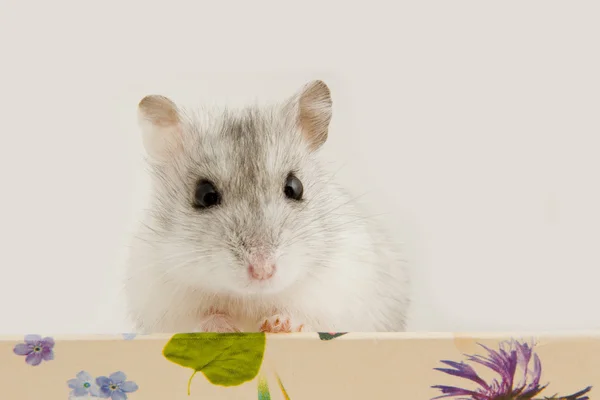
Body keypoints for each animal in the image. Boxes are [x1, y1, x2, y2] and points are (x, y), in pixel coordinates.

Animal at [124, 79, 410, 332]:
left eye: (295, 187)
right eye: (204, 195)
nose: (263, 271)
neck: (253, 297)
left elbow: (310, 319)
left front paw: (279, 324)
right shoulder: (161, 303)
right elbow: (197, 321)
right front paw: (225, 327)